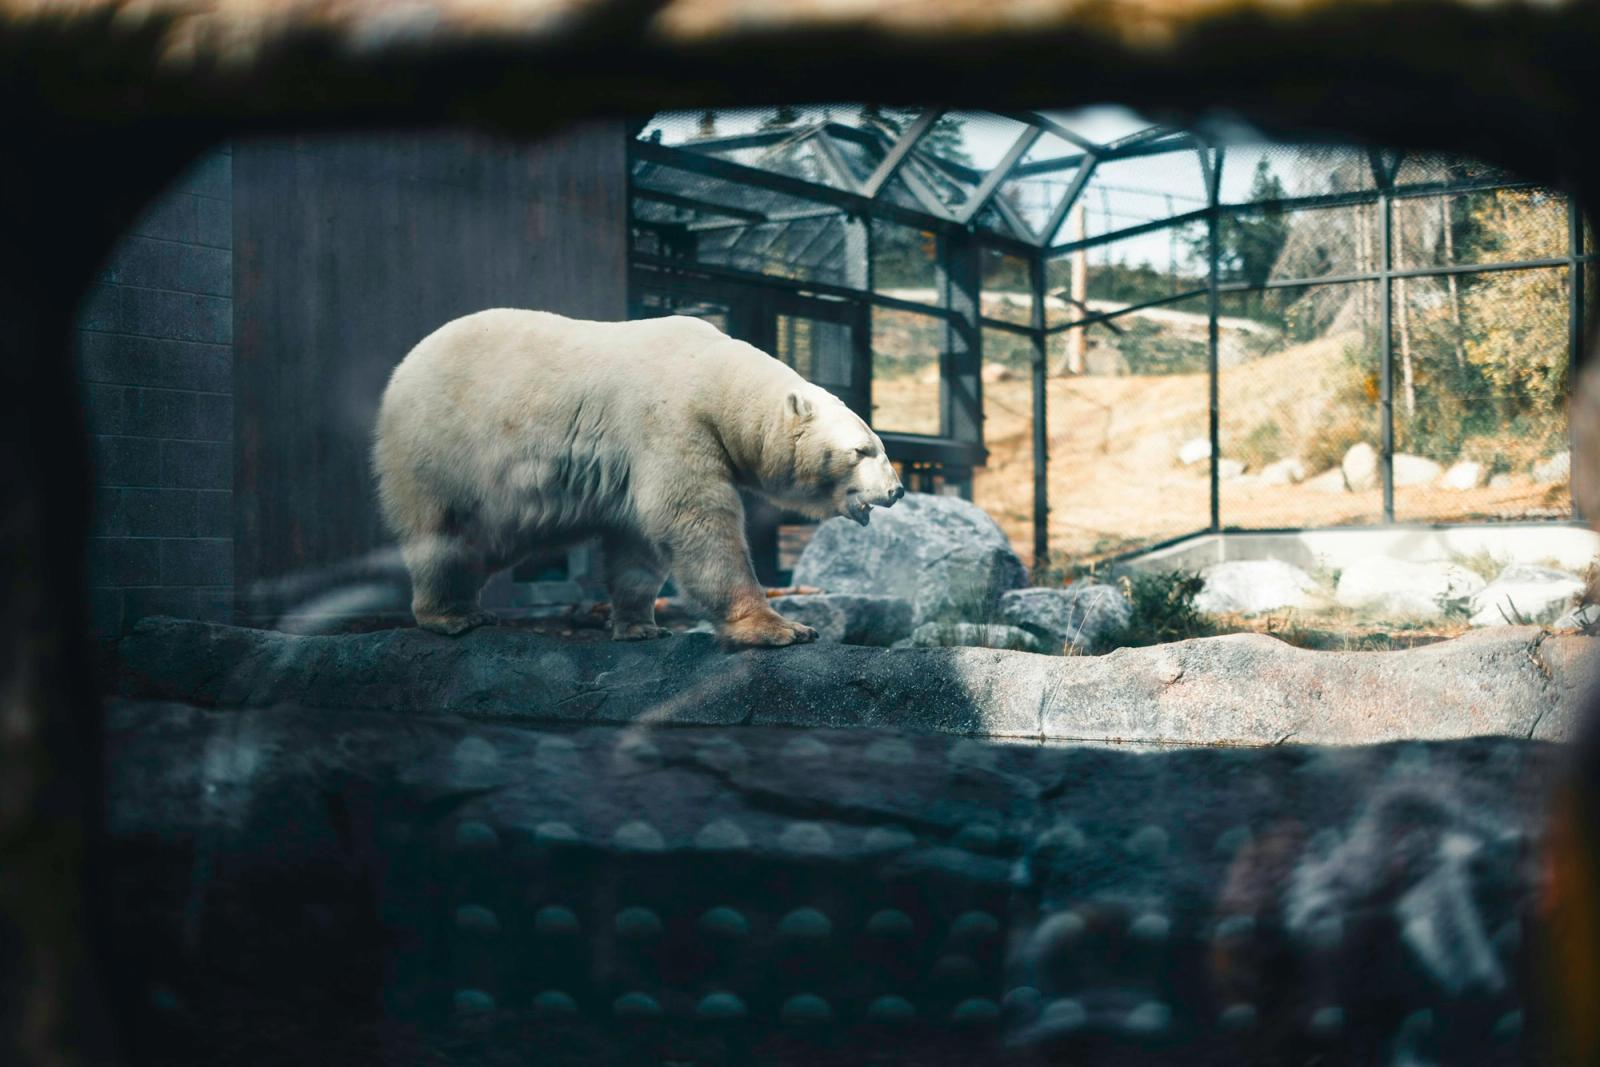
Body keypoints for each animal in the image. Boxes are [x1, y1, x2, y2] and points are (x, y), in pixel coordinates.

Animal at [371, 309, 904, 647]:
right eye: (861, 450)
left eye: (880, 447)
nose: (897, 490)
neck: (714, 378)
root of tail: (403, 368)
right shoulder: (669, 422)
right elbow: (695, 519)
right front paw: (782, 629)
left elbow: (638, 542)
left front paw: (640, 626)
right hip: (441, 449)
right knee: (442, 533)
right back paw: (452, 615)